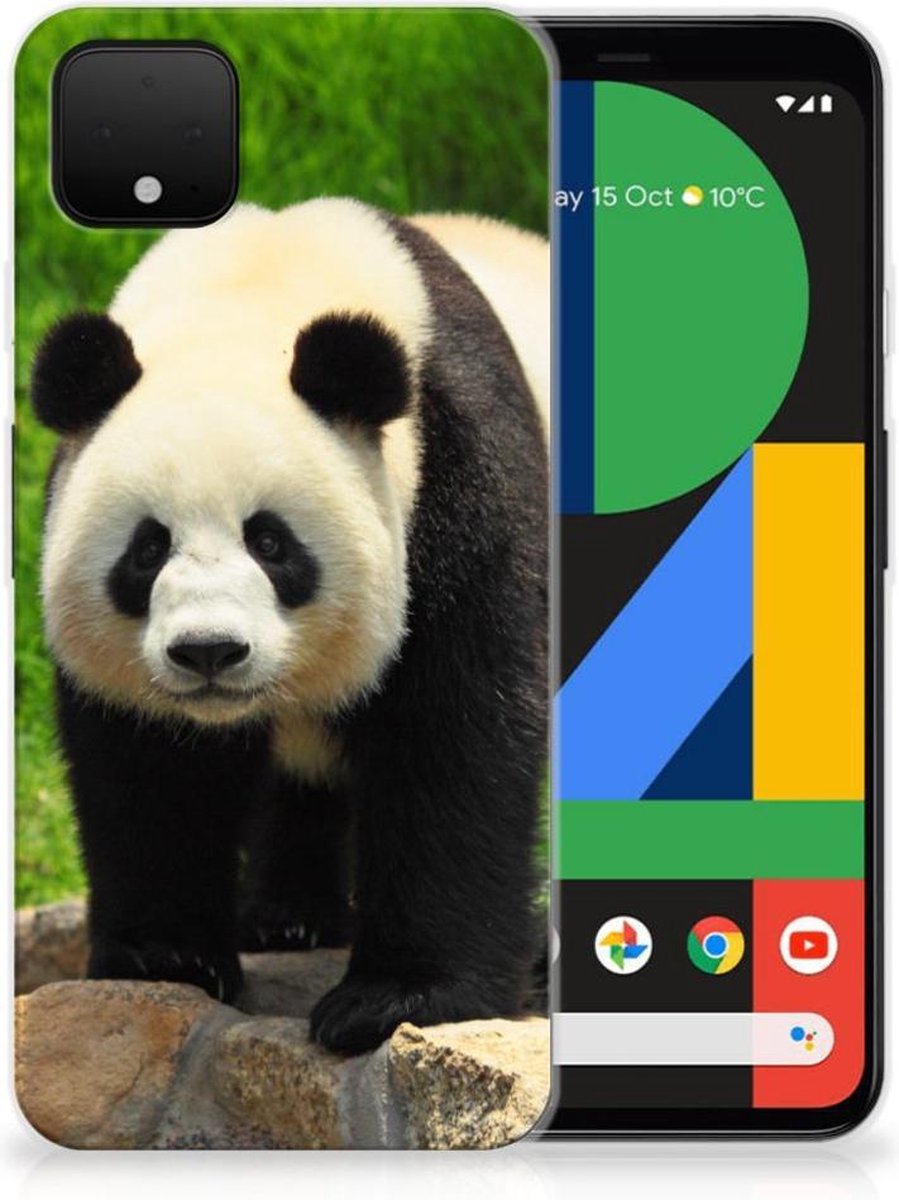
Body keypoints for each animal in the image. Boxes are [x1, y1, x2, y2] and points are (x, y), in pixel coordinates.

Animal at [30, 199, 548, 1054]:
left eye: (270, 543)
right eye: (147, 549)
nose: (208, 651)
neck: (253, 294)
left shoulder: (460, 473)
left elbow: (456, 731)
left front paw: (396, 998)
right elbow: (150, 764)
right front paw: (166, 957)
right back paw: (287, 917)